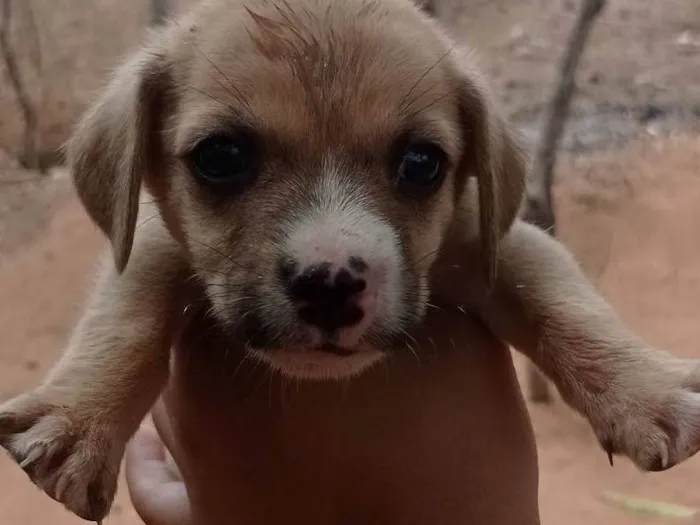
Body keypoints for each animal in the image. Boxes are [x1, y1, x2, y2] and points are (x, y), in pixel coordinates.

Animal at [1, 0, 700, 520]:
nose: (331, 283)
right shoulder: (156, 244)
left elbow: (565, 301)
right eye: (220, 156)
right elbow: (125, 313)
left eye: (422, 163)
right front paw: (78, 419)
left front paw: (648, 392)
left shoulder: (496, 241)